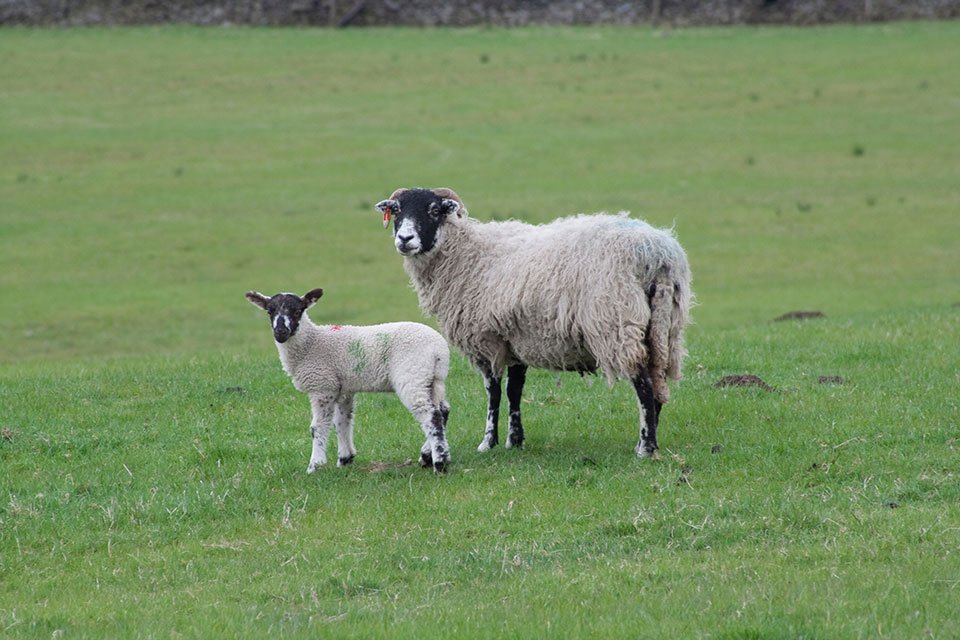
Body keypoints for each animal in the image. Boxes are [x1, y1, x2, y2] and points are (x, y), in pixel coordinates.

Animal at [245, 287, 452, 473]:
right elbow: (342, 422)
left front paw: (314, 466)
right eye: (270, 311)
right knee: (442, 411)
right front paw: (345, 459)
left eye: (297, 311)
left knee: (431, 416)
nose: (280, 332)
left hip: (411, 375)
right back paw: (429, 455)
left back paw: (439, 463)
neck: (311, 344)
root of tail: (439, 350)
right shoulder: (343, 388)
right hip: (432, 380)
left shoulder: (322, 386)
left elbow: (317, 427)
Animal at [374, 188, 692, 458]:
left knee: (644, 384)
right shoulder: (515, 339)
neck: (466, 253)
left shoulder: (487, 341)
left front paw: (487, 442)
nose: (404, 239)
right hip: (665, 327)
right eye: (397, 210)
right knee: (657, 382)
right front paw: (514, 440)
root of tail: (657, 252)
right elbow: (514, 390)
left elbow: (493, 392)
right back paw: (651, 439)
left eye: (433, 210)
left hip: (617, 323)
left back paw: (645, 447)